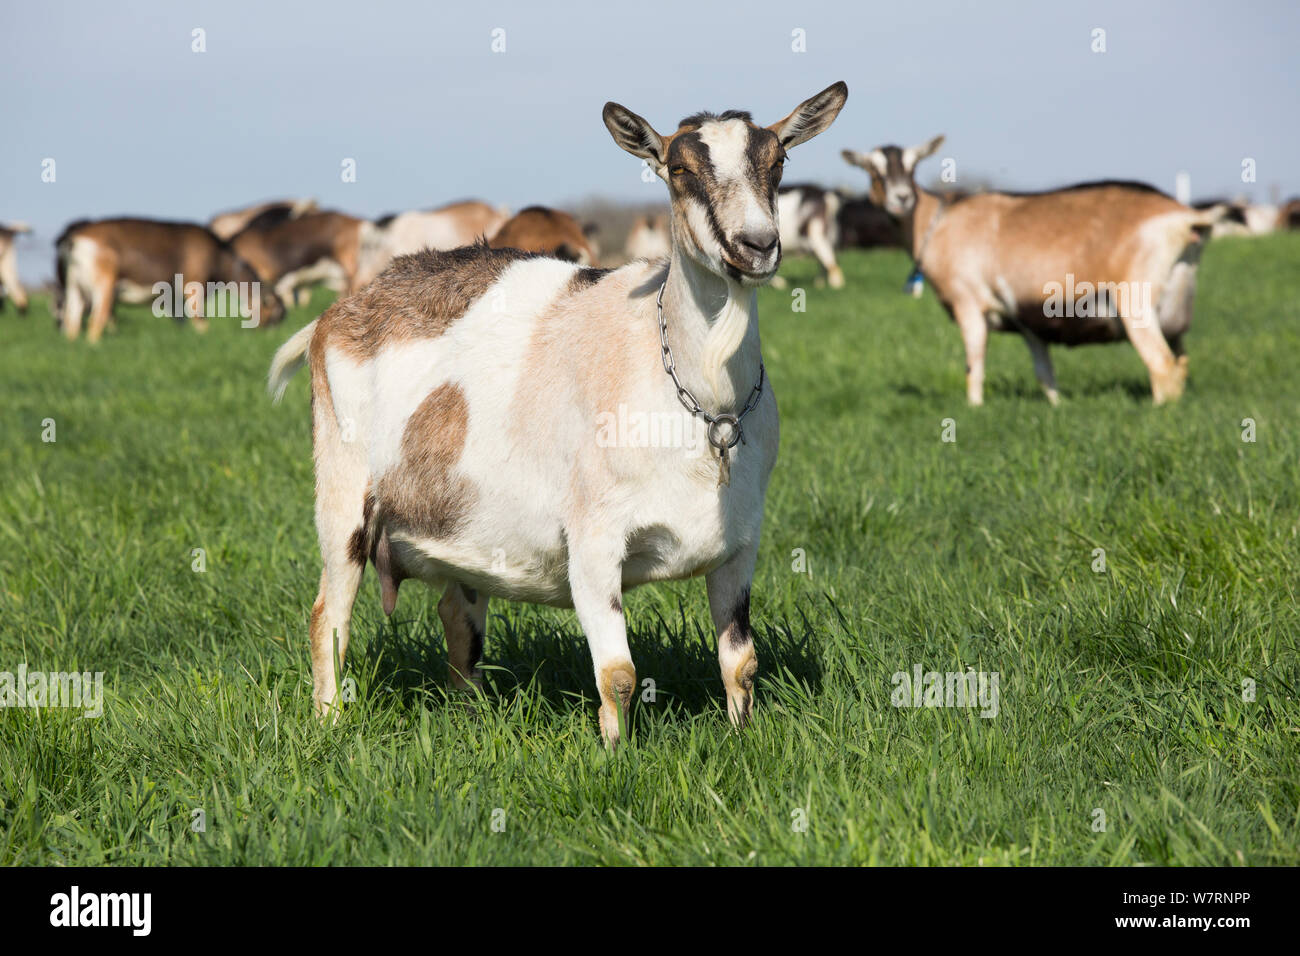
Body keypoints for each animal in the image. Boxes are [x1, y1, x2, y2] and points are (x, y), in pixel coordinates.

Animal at [56, 217, 282, 340]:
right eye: (275, 315)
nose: (266, 335)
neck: (219, 255)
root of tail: (75, 239)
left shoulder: (173, 299)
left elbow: (181, 321)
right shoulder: (194, 286)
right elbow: (199, 319)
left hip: (75, 287)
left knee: (71, 322)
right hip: (104, 287)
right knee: (96, 320)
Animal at [842, 136, 1227, 405]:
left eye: (913, 166)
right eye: (873, 170)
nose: (902, 198)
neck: (939, 222)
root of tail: (1185, 218)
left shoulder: (969, 305)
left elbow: (974, 368)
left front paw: (974, 409)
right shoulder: (1028, 322)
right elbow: (1045, 374)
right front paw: (1058, 406)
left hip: (1135, 302)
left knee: (1161, 366)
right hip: (1176, 311)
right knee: (1180, 364)